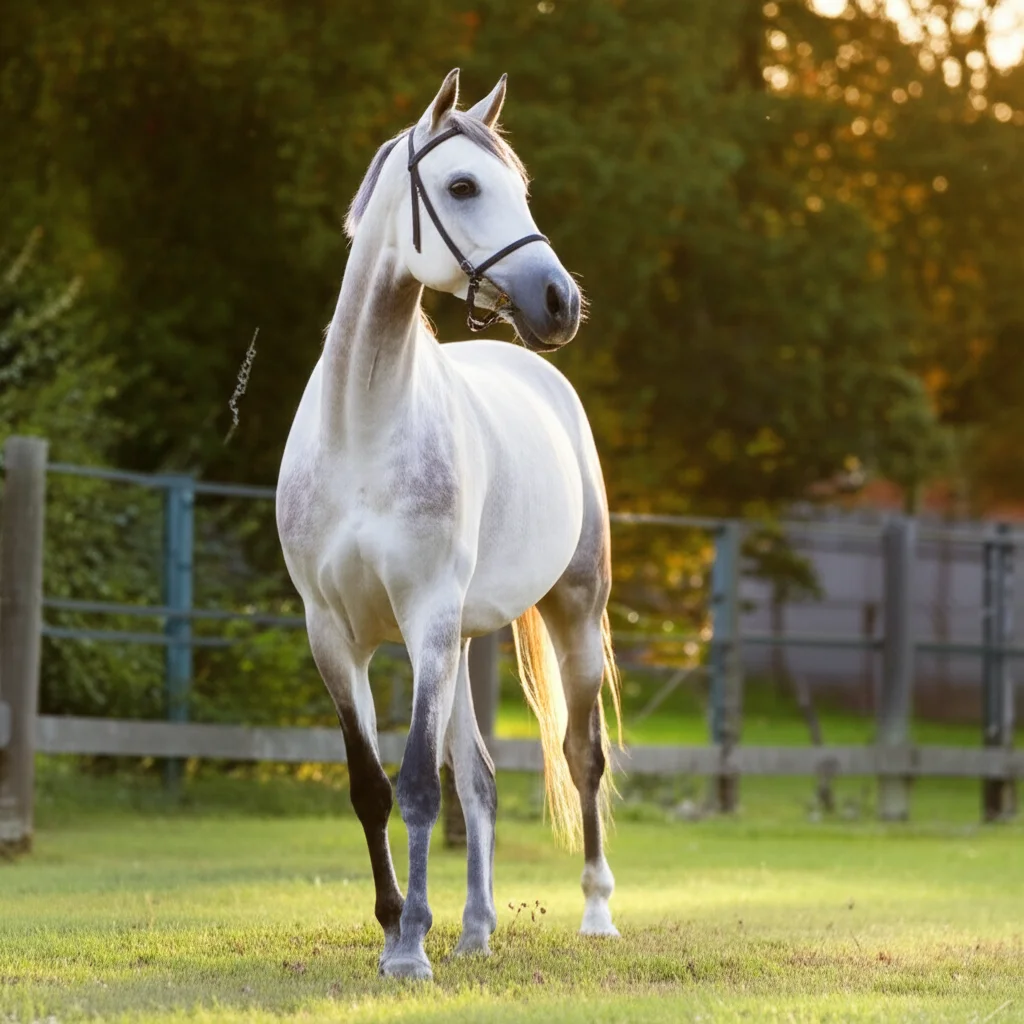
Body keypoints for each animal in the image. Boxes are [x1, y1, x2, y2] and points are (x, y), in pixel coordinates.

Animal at [276, 69, 622, 981]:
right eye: (463, 186)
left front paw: (409, 951)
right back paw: (475, 930)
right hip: (467, 639)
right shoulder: (335, 636)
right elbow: (374, 787)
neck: (363, 428)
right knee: (483, 781)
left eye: (520, 187)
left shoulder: (425, 620)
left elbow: (420, 785)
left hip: (572, 613)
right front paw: (398, 922)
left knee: (581, 755)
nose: (559, 301)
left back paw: (596, 913)